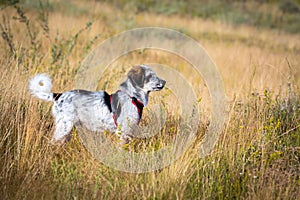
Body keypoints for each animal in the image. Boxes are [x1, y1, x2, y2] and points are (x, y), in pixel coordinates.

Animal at [29, 64, 165, 144]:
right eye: (151, 76)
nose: (164, 81)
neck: (132, 97)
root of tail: (59, 95)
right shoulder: (122, 132)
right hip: (64, 126)